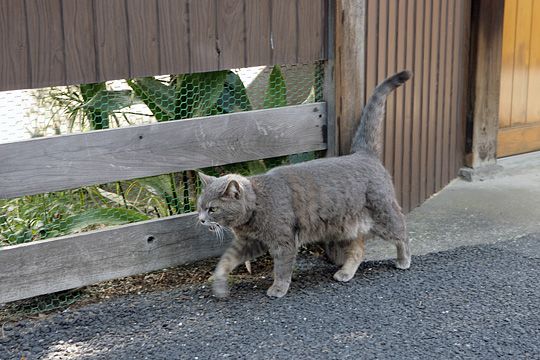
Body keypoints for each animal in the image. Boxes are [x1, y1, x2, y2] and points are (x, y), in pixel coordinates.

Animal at [198, 70, 414, 298]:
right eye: (199, 207)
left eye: (212, 209)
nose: (201, 220)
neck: (257, 205)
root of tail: (362, 154)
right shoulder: (248, 243)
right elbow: (226, 260)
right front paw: (219, 283)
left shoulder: (283, 241)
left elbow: (282, 268)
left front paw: (278, 288)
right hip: (345, 228)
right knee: (358, 250)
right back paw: (345, 272)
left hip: (383, 215)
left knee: (402, 234)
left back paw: (403, 260)